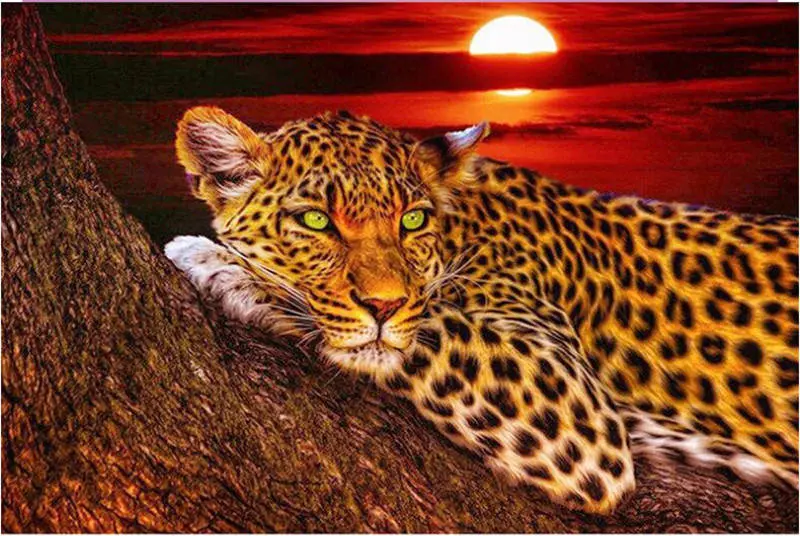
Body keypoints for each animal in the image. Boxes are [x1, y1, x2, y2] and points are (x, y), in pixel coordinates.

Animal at [165, 106, 798, 514]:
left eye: (412, 220)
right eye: (317, 220)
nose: (384, 304)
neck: (463, 227)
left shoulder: (571, 402)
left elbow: (424, 330)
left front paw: (221, 264)